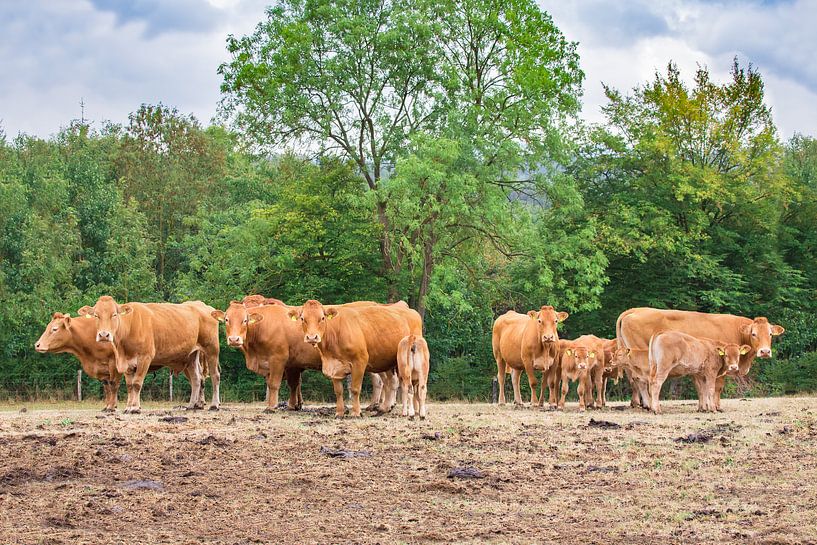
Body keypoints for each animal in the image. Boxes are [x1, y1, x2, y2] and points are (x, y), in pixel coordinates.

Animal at [35, 312, 208, 411]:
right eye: (48, 327)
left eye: (54, 329)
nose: (37, 345)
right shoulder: (103, 367)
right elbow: (106, 387)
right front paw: (107, 406)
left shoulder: (113, 364)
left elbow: (114, 385)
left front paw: (113, 407)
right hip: (189, 360)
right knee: (198, 379)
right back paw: (197, 404)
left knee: (198, 379)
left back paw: (199, 404)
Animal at [79, 296, 221, 414]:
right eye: (96, 315)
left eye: (114, 314)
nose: (104, 335)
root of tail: (203, 305)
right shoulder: (127, 363)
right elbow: (130, 386)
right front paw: (129, 407)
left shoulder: (145, 358)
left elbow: (137, 383)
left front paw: (134, 408)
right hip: (191, 355)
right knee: (196, 378)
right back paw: (191, 405)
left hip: (211, 349)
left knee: (215, 376)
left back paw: (214, 405)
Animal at [287, 300, 422, 417]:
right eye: (303, 318)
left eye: (322, 318)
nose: (311, 337)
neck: (336, 333)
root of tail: (410, 311)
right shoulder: (334, 366)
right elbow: (338, 391)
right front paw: (339, 412)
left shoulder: (359, 362)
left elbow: (355, 389)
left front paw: (356, 412)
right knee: (392, 382)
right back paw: (384, 408)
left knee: (411, 385)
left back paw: (414, 411)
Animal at [617, 308, 784, 410]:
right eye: (753, 334)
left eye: (770, 334)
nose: (765, 351)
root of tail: (635, 310)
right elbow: (716, 387)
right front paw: (716, 407)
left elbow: (701, 387)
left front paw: (703, 407)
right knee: (642, 380)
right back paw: (648, 404)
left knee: (634, 380)